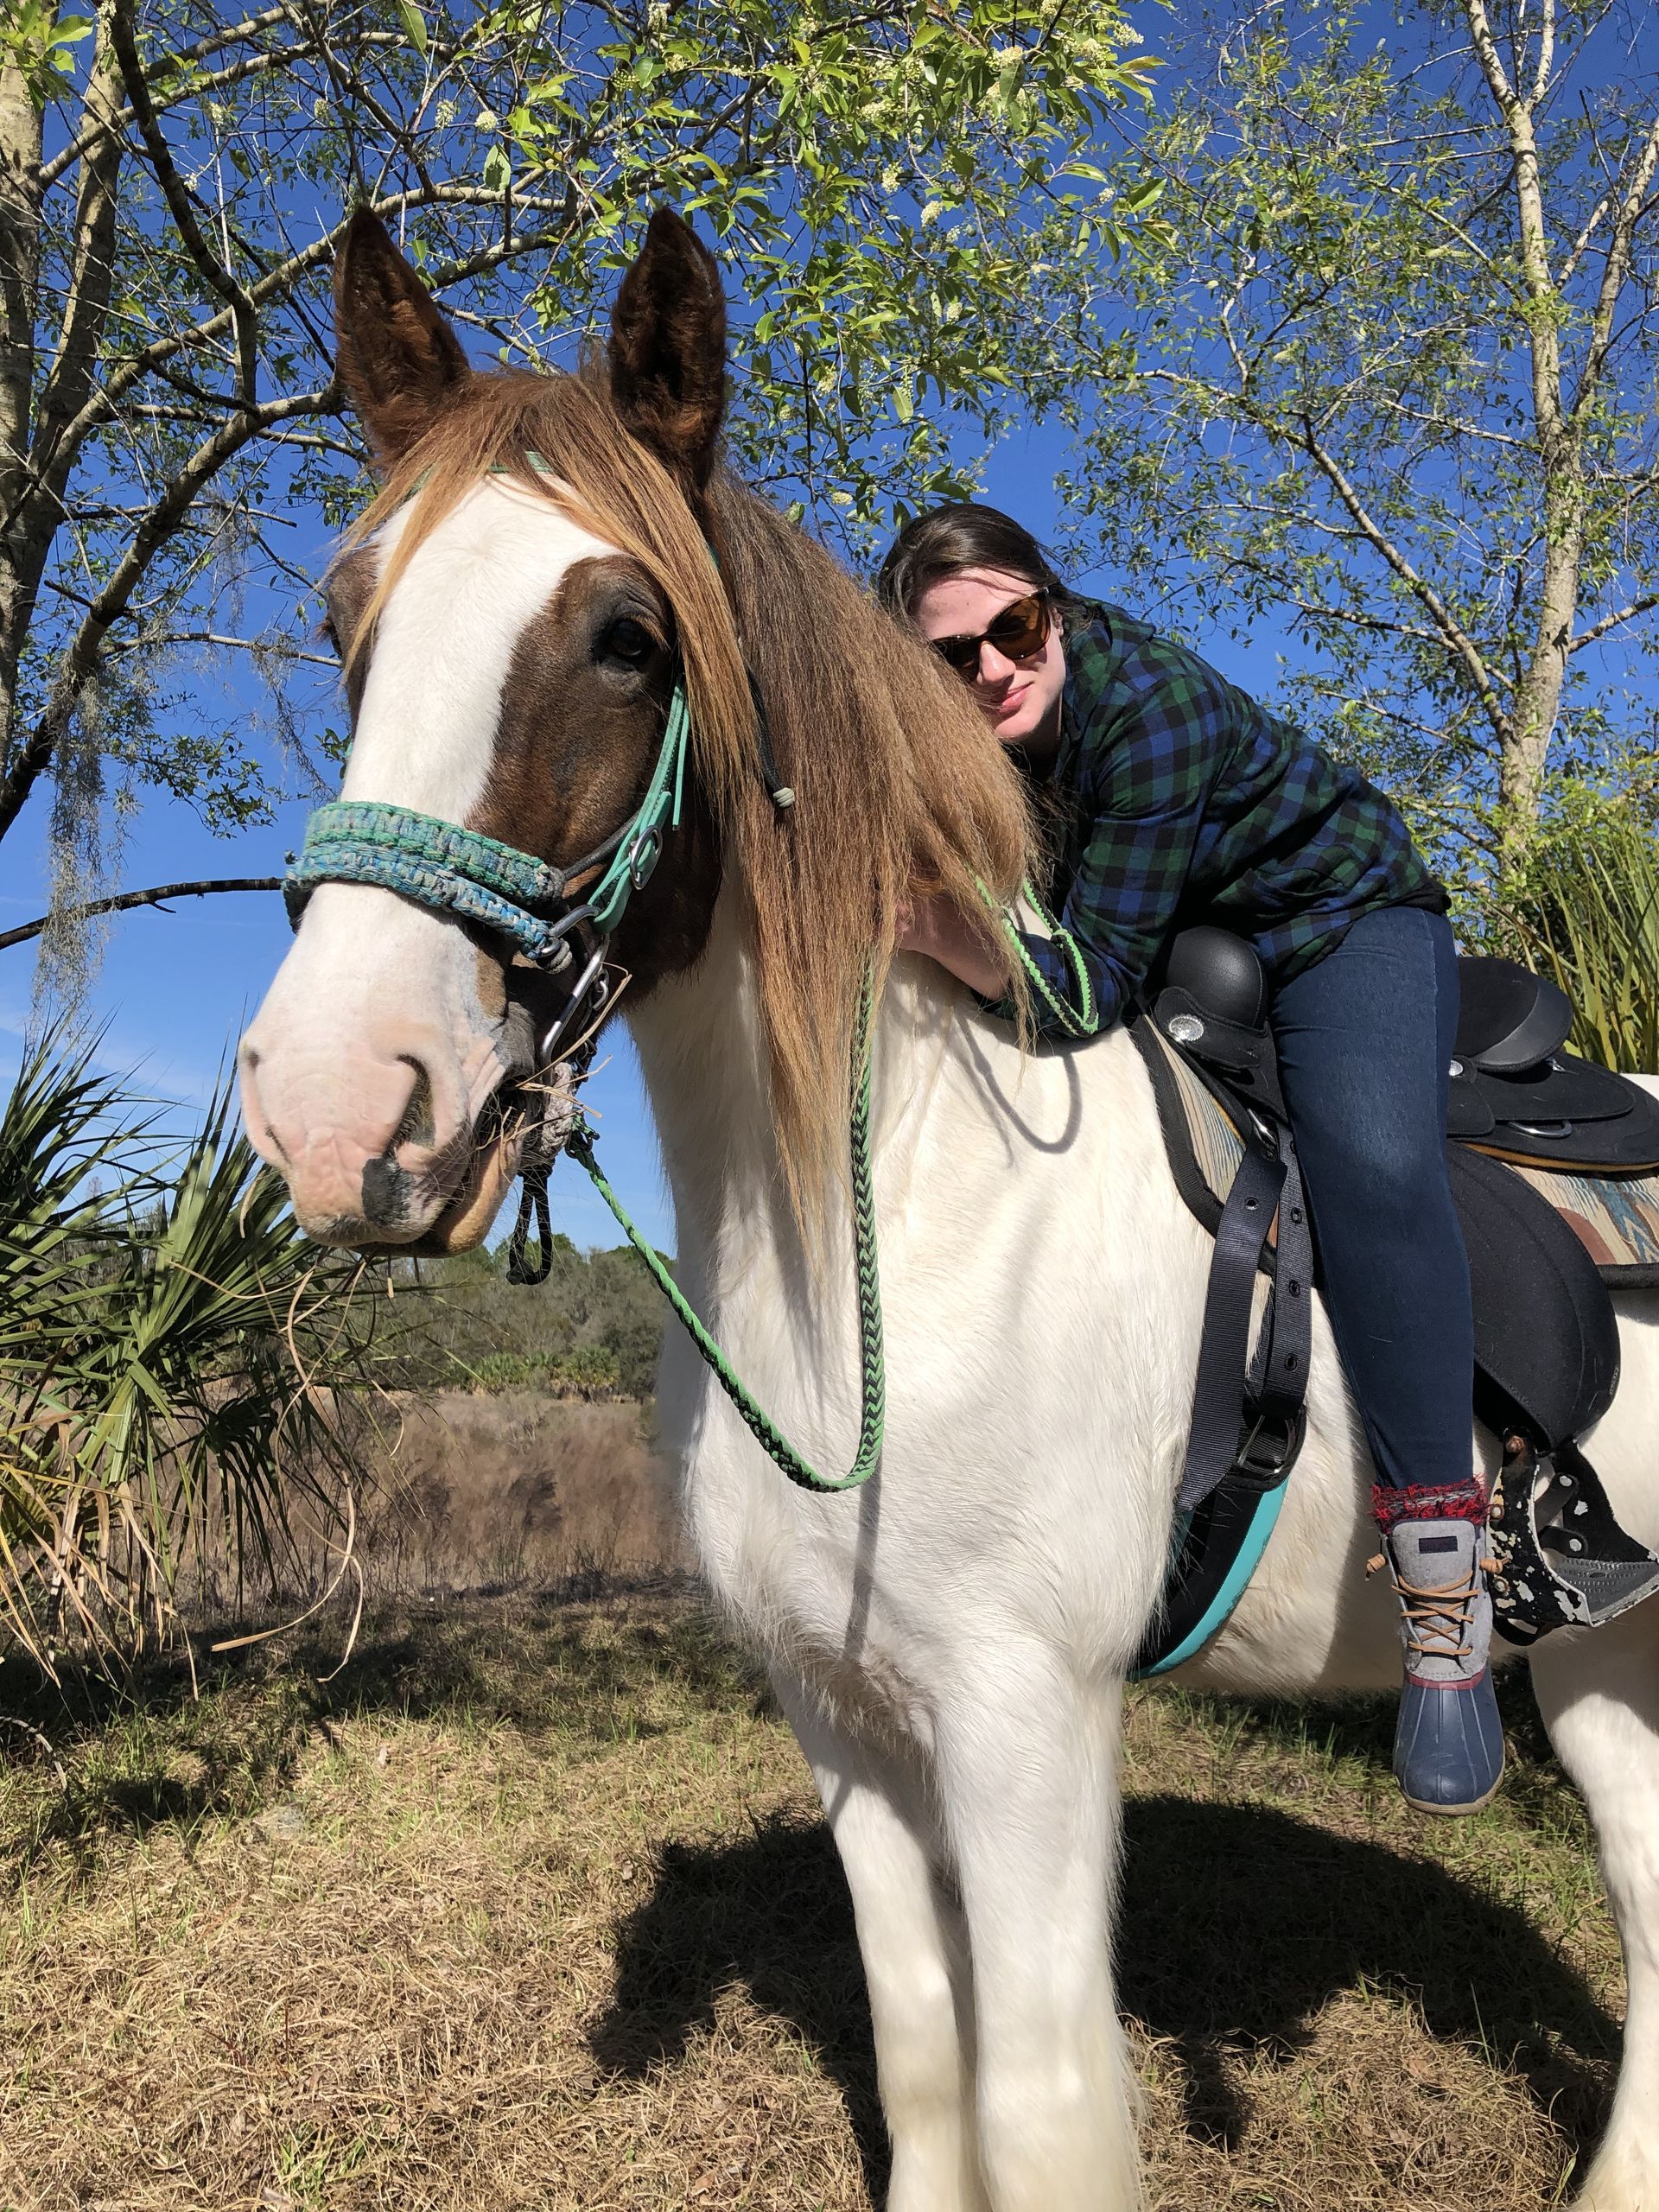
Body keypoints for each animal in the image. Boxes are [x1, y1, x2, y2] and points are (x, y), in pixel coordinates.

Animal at [239, 211, 1659, 2212]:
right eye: (345, 625)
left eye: (627, 637)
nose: (335, 1107)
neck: (891, 1234)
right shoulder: (849, 1724)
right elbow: (928, 2060)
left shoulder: (1026, 1727)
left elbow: (1044, 2107)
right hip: (1609, 1654)